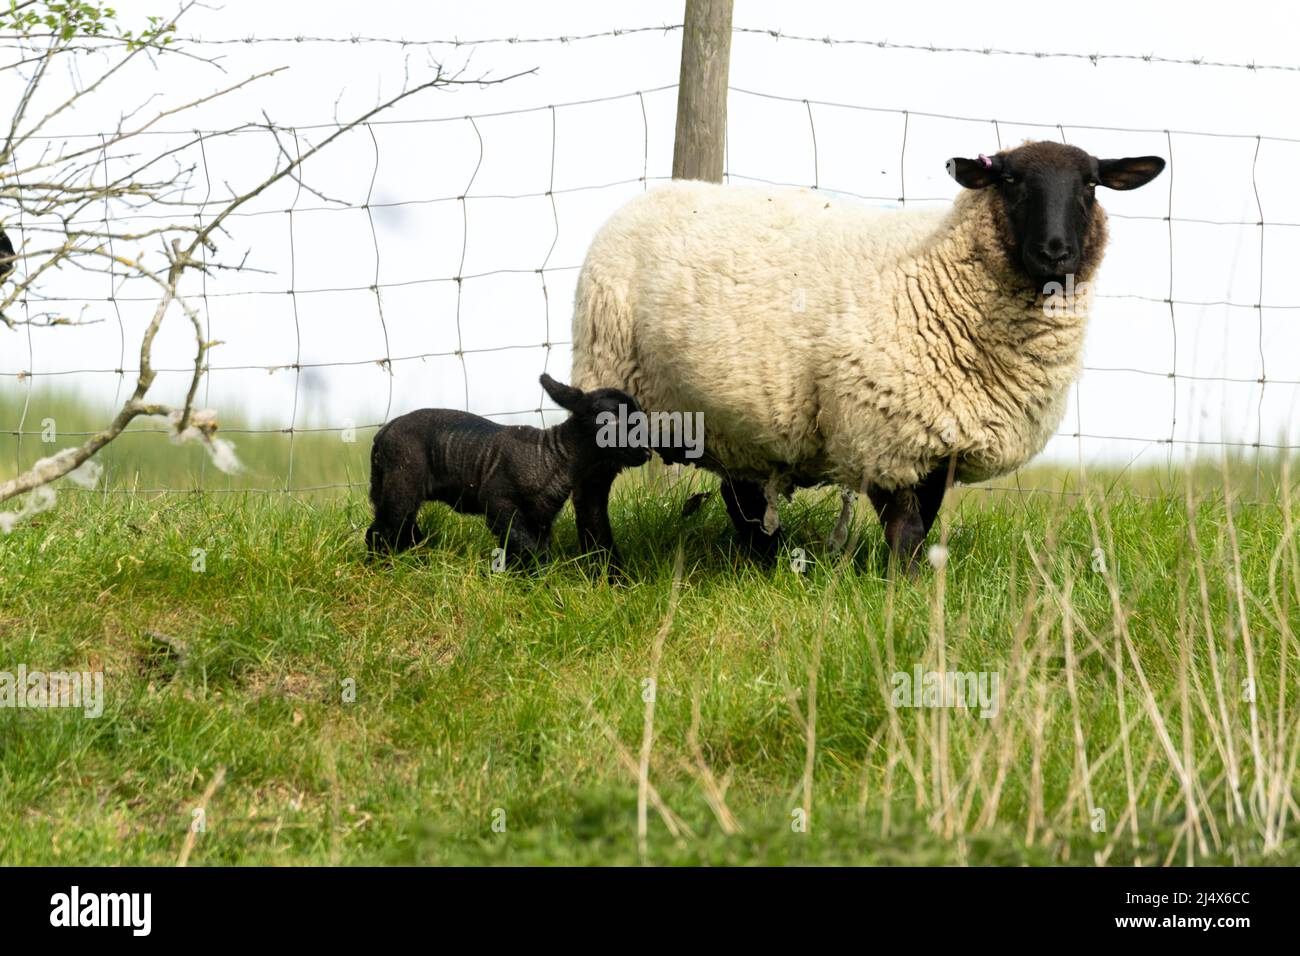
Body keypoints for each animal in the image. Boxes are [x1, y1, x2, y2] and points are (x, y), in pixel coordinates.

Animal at [366, 371, 650, 567]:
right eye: (611, 419)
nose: (647, 451)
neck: (554, 455)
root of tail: (382, 433)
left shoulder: (541, 520)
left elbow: (531, 553)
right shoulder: (499, 503)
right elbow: (527, 551)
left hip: (384, 486)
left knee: (400, 530)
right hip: (402, 481)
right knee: (382, 531)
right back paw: (381, 568)